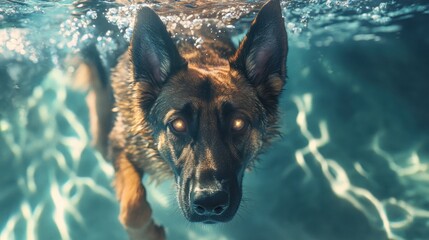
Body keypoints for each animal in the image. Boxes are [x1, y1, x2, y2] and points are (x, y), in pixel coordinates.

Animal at [80, 0, 288, 239]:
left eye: (239, 124)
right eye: (178, 125)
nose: (210, 203)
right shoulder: (122, 144)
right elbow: (133, 208)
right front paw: (150, 234)